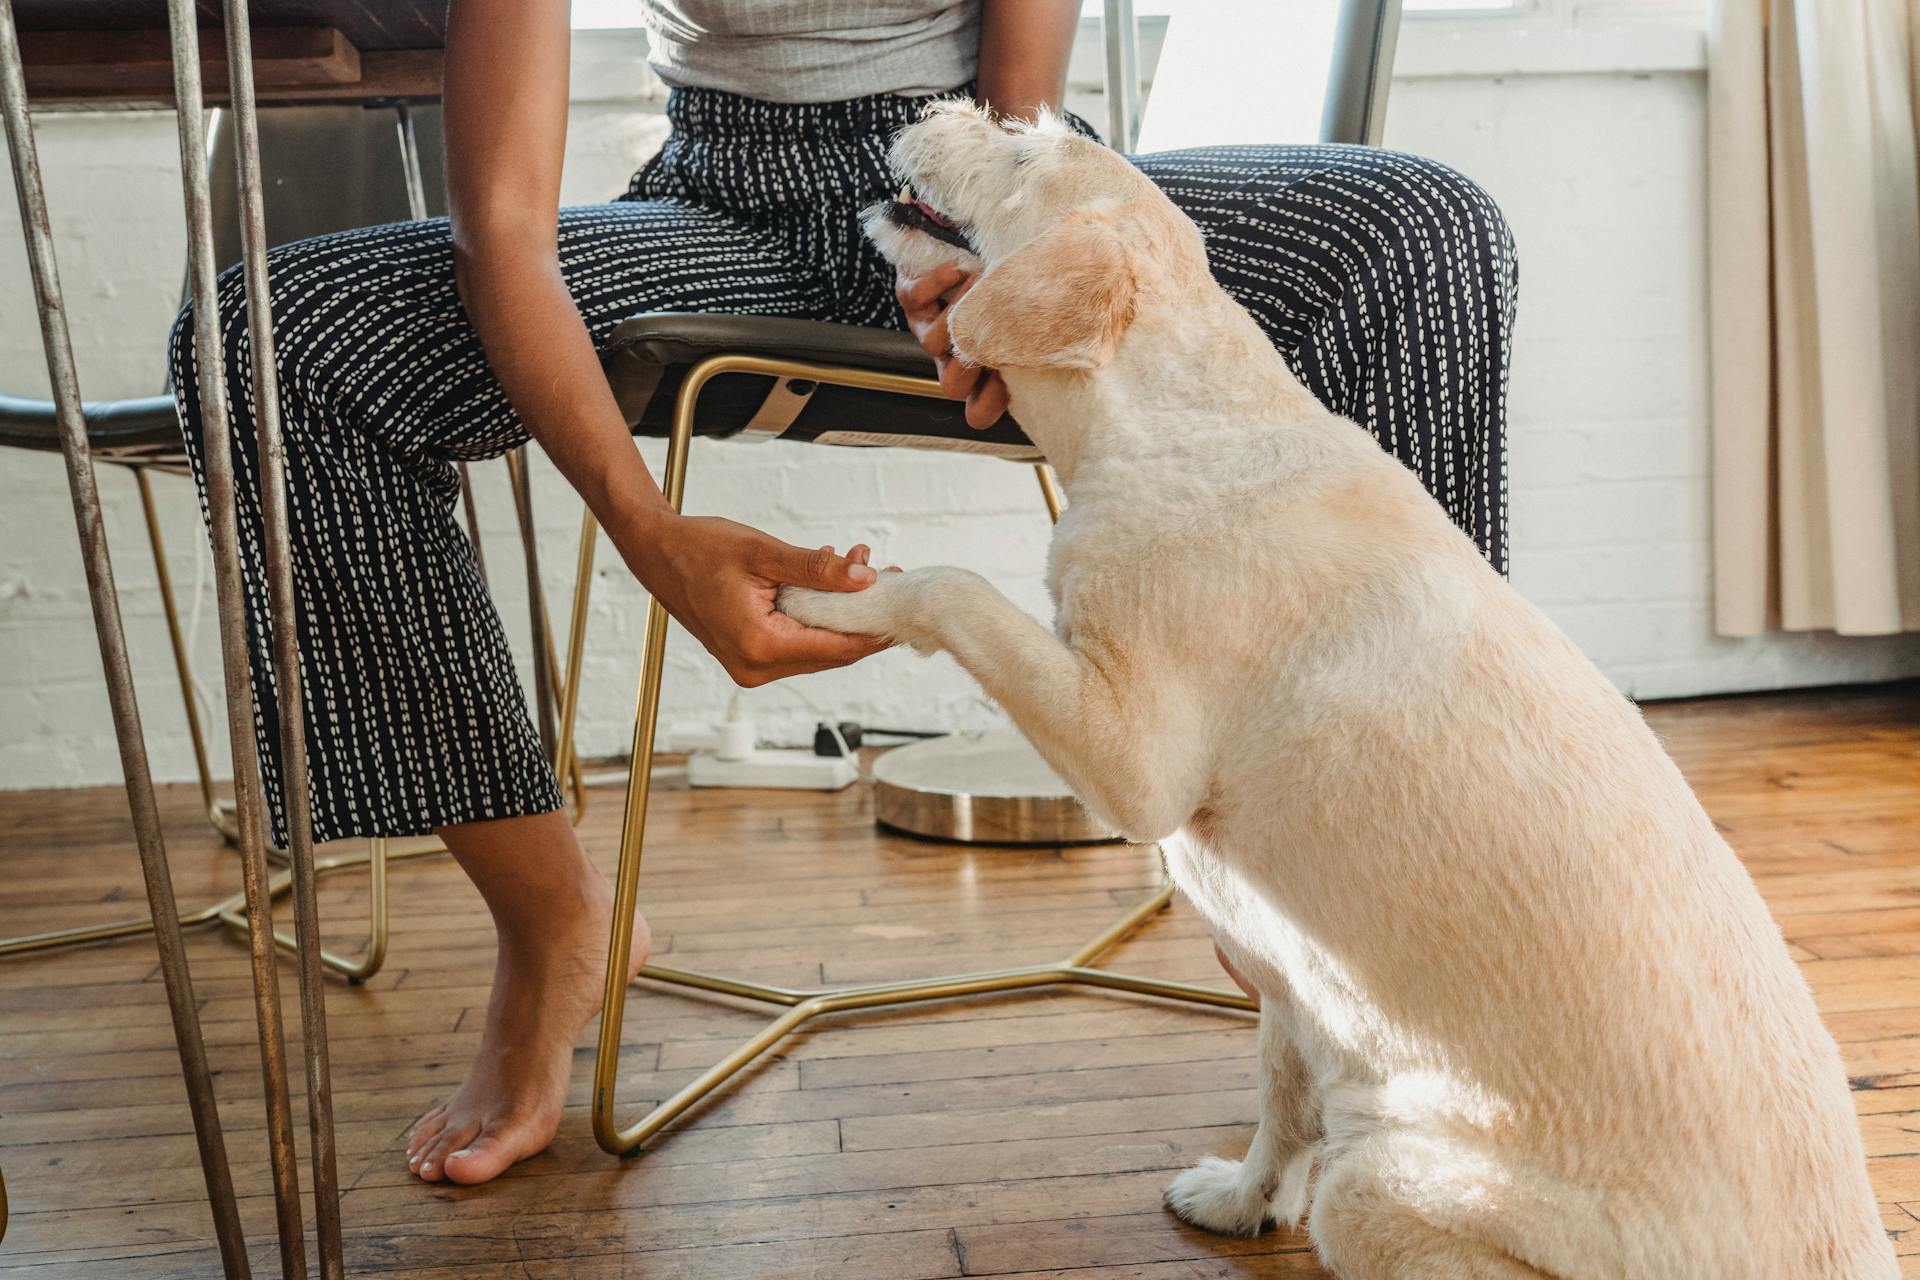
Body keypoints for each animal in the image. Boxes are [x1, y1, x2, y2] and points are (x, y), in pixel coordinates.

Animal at [775, 102, 1889, 1280]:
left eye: (1026, 149)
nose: (929, 107)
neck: (1175, 419)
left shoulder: (1133, 761)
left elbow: (954, 587)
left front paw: (836, 597)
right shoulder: (1292, 986)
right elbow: (1279, 1100)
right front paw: (1241, 1199)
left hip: (1378, 1189)